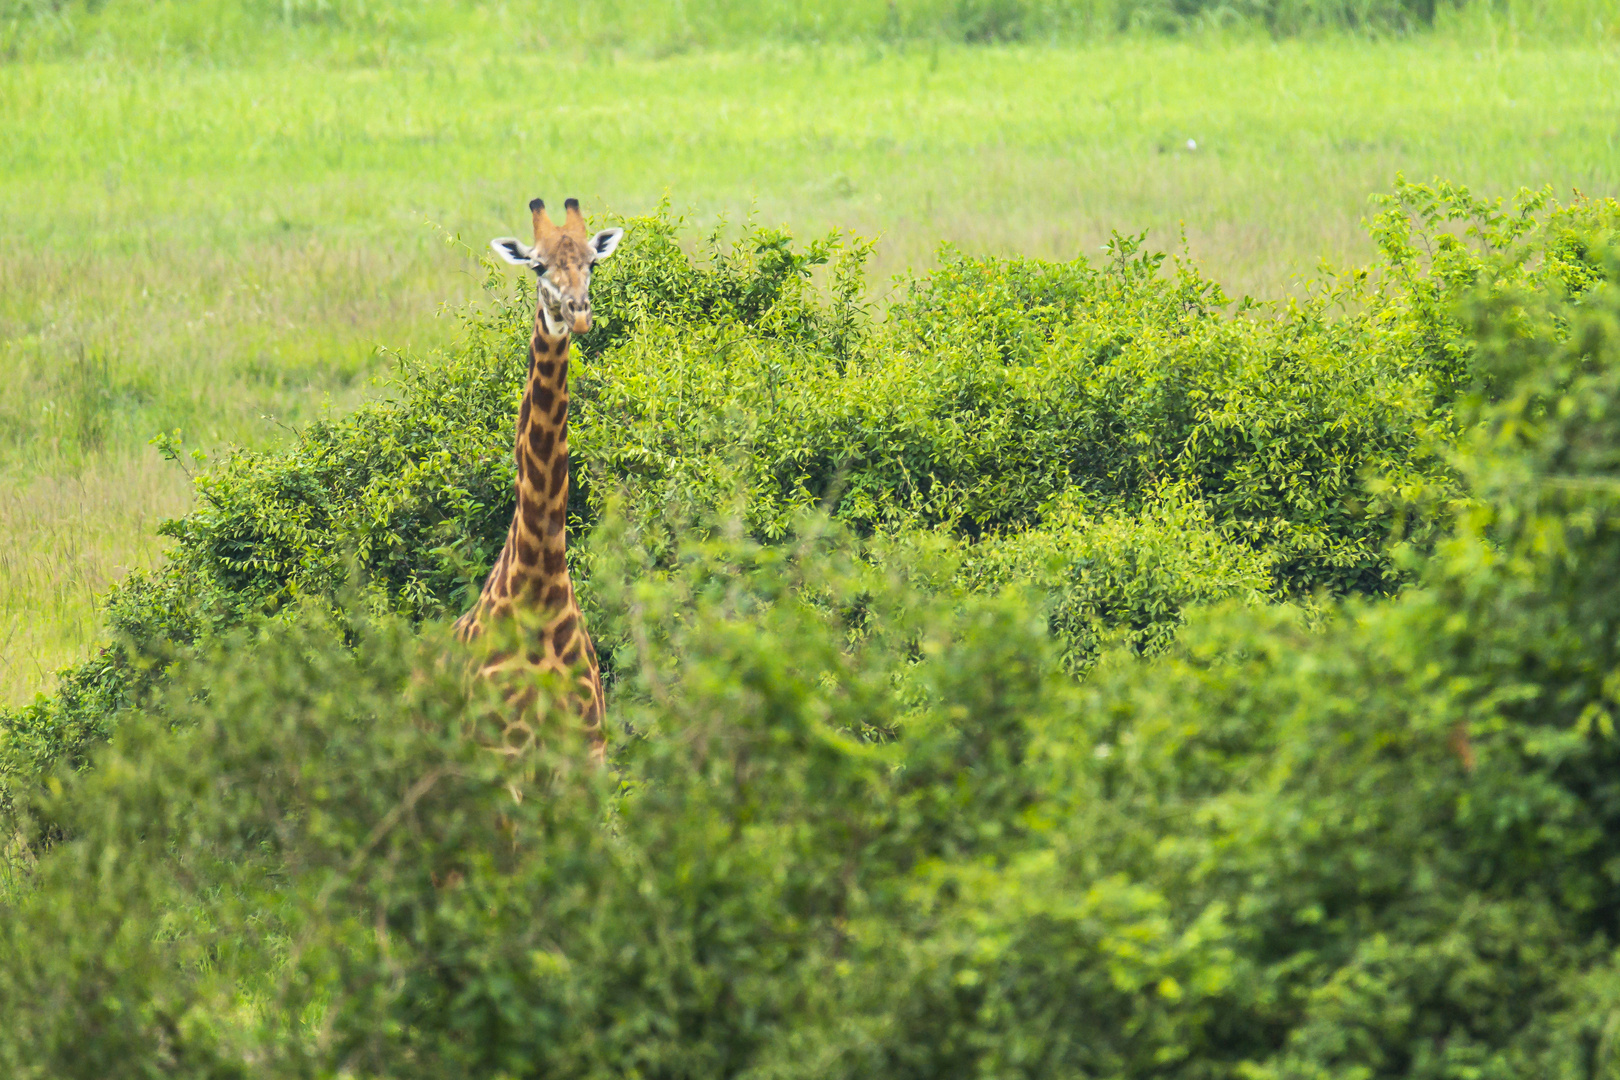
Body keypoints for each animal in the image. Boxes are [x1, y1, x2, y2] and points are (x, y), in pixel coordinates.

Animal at [463, 196, 625, 767]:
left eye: (593, 262)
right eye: (536, 266)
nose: (578, 314)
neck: (540, 588)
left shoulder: (591, 752)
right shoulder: (502, 755)